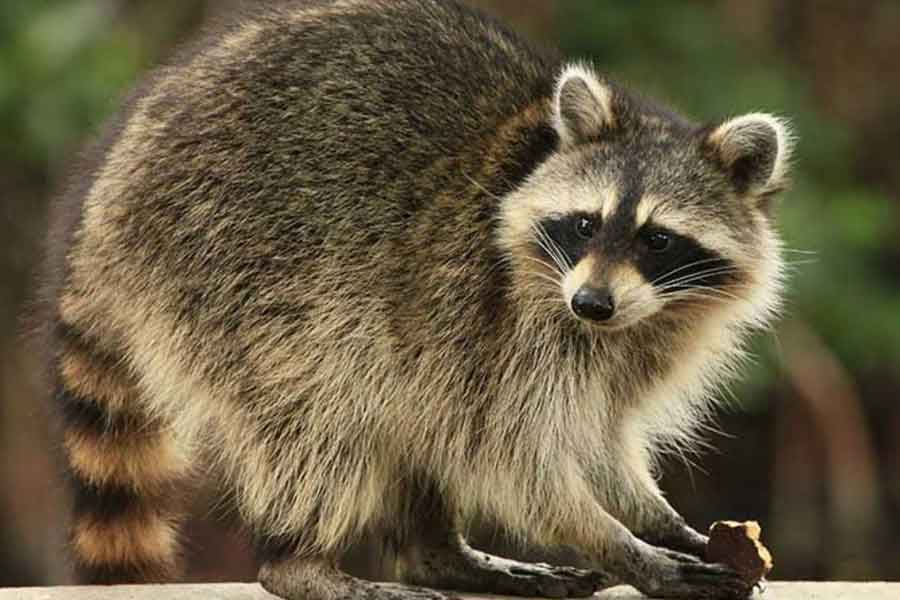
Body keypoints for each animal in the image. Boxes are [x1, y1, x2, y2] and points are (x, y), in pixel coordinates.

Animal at [38, 1, 792, 600]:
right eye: (585, 223)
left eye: (657, 240)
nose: (591, 304)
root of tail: (106, 194)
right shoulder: (504, 314)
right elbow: (517, 457)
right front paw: (620, 545)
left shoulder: (633, 340)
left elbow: (598, 437)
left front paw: (651, 516)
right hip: (227, 264)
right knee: (318, 408)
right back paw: (300, 562)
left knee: (411, 410)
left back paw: (437, 555)